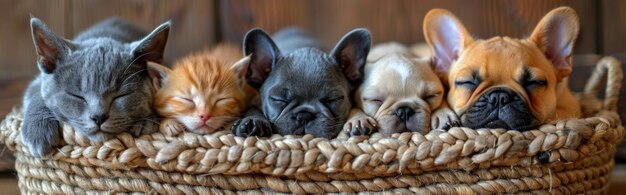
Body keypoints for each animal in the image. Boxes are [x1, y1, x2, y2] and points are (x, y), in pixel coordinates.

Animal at [22, 16, 171, 157]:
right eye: (77, 96)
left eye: (122, 95)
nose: (98, 117)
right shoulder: (36, 82)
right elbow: (37, 96)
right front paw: (38, 131)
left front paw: (146, 122)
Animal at [230, 27, 368, 139]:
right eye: (278, 99)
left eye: (333, 99)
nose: (305, 115)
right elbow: (252, 108)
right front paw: (252, 120)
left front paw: (358, 119)